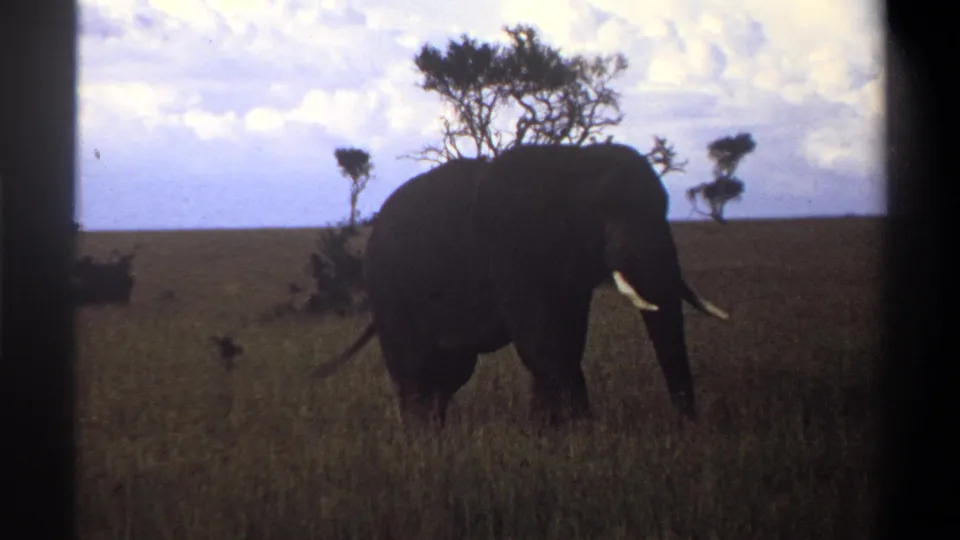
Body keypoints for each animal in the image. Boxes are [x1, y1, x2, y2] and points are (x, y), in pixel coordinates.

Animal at [310, 143, 729, 428]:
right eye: (606, 216)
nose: (687, 427)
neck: (575, 163)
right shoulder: (511, 250)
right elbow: (542, 340)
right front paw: (586, 435)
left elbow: (568, 336)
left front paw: (550, 432)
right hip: (391, 291)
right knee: (414, 370)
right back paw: (421, 441)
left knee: (449, 372)